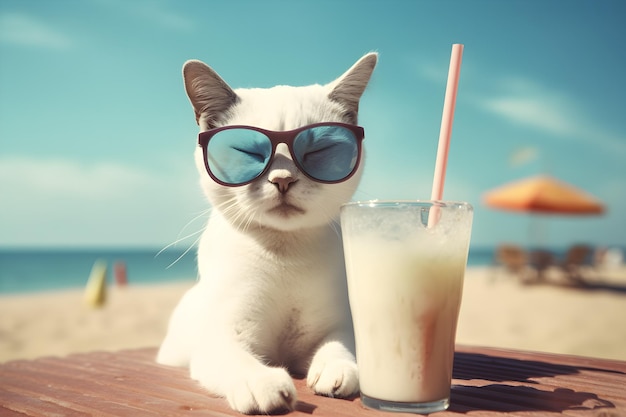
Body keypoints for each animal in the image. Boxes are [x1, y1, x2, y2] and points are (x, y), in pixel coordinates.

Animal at [158, 52, 378, 412]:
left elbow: (340, 346)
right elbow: (239, 361)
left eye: (316, 151)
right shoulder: (224, 335)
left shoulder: (337, 325)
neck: (286, 255)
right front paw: (264, 385)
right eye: (249, 152)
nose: (283, 179)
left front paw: (336, 371)